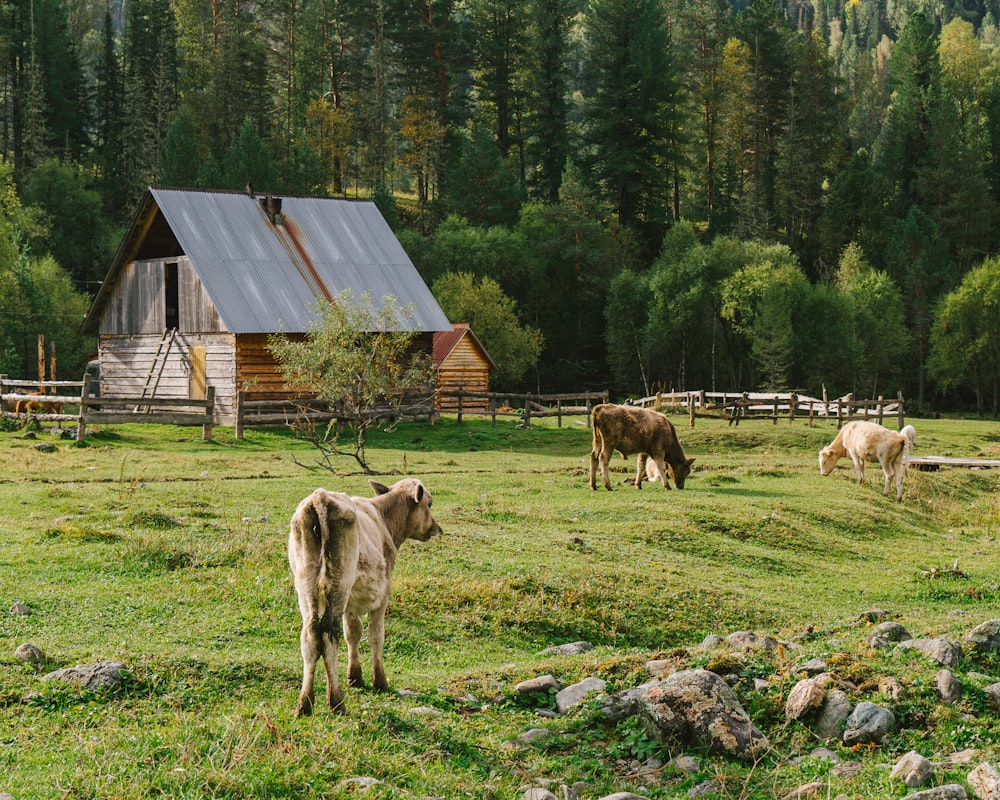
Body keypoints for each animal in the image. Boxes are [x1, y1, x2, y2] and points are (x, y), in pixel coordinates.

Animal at [286, 478, 442, 716]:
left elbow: (353, 632)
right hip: (339, 581)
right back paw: (337, 702)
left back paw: (305, 703)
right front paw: (380, 681)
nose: (436, 528)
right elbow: (375, 635)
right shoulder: (382, 594)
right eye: (430, 504)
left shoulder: (350, 602)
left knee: (310, 635)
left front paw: (355, 677)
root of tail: (320, 498)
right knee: (329, 634)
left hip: (306, 583)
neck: (385, 520)